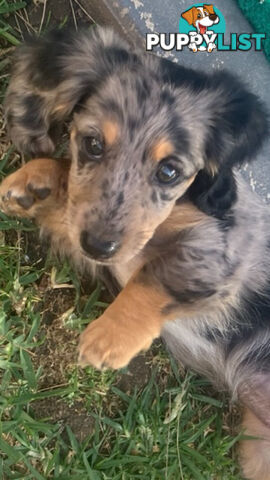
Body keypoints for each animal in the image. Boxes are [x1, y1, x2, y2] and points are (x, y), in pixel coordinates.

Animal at [0, 27, 270, 480]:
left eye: (169, 171)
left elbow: (156, 277)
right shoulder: (99, 239)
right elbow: (73, 201)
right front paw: (37, 182)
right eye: (92, 144)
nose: (99, 245)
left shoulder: (225, 250)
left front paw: (109, 337)